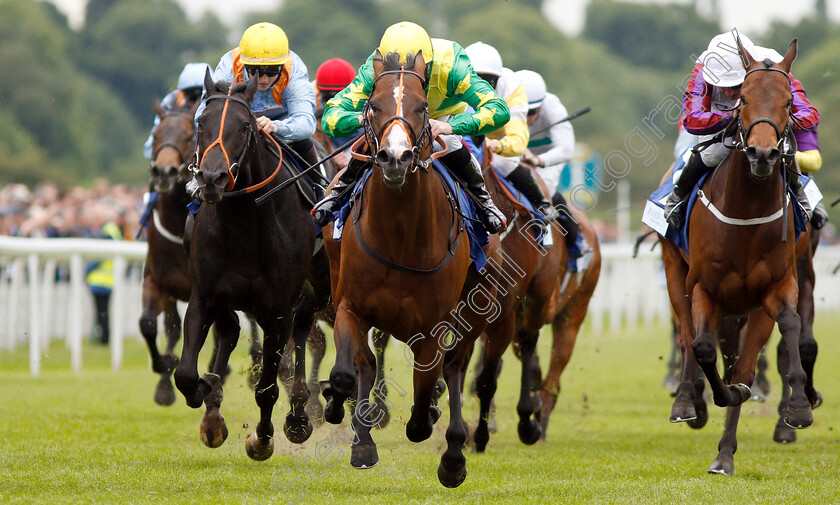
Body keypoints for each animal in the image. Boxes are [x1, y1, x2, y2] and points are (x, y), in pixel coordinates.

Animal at [174, 72, 332, 456]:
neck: (244, 224)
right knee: (231, 331)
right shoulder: (205, 295)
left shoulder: (279, 309)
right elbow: (185, 373)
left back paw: (300, 414)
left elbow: (268, 386)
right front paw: (206, 393)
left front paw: (262, 439)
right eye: (200, 122)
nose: (211, 179)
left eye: (245, 126)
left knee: (304, 334)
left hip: (315, 291)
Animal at [324, 50, 502, 484]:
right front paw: (342, 414)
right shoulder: (350, 306)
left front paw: (434, 425)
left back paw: (453, 455)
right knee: (368, 366)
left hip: (477, 307)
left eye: (422, 107)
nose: (394, 157)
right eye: (373, 105)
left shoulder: (433, 327)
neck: (400, 235)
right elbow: (347, 372)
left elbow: (424, 396)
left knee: (453, 368)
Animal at [660, 38, 816, 472]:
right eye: (742, 98)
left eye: (789, 102)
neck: (745, 215)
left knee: (743, 361)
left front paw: (797, 408)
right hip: (674, 273)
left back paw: (725, 452)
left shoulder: (779, 286)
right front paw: (710, 396)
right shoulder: (703, 287)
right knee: (686, 336)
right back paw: (687, 402)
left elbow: (791, 326)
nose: (763, 154)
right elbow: (701, 346)